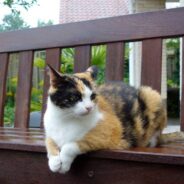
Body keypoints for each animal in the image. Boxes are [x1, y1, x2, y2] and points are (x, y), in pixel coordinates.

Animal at [43, 65, 182, 174]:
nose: (89, 108)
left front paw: (64, 163)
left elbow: (71, 145)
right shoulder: (50, 133)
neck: (66, 118)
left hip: (151, 95)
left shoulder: (110, 131)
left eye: (92, 96)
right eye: (75, 97)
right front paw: (54, 162)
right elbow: (49, 142)